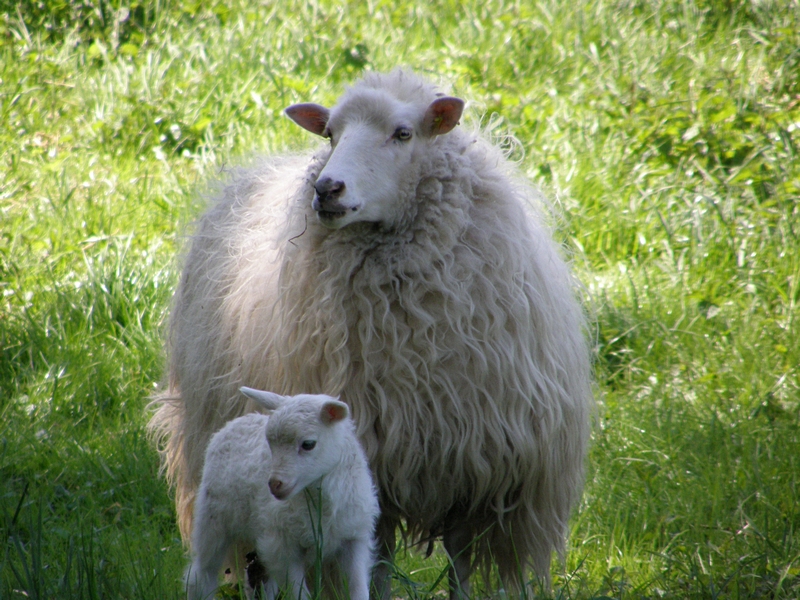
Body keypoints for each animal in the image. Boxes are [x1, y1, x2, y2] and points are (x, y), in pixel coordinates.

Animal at [186, 386, 380, 600]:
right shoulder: (285, 548)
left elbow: (358, 589)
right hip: (214, 517)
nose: (274, 484)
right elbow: (299, 593)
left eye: (308, 444)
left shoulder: (354, 539)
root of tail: (236, 422)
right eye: (270, 443)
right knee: (203, 573)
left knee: (260, 579)